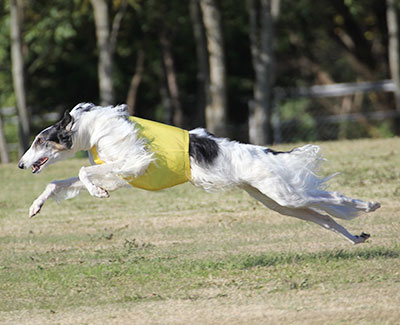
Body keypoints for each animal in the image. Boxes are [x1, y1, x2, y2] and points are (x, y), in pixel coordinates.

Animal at [18, 102, 382, 242]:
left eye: (39, 140)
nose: (21, 164)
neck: (91, 128)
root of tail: (268, 152)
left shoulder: (135, 161)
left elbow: (82, 171)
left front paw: (98, 192)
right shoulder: (120, 173)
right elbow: (58, 181)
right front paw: (35, 206)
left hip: (286, 194)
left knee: (332, 196)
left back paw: (370, 205)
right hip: (280, 202)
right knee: (327, 217)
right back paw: (356, 236)